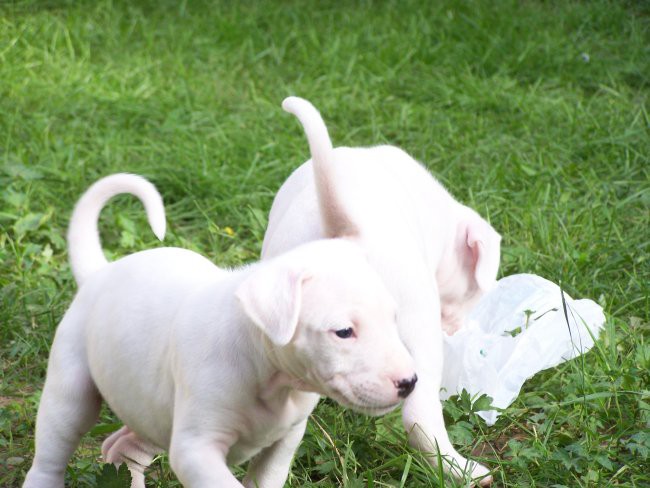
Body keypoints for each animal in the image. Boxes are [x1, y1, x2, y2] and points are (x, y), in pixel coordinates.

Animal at [24, 173, 416, 486]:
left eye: (393, 319)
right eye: (344, 332)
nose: (409, 382)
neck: (268, 376)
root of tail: (100, 273)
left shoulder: (286, 438)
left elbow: (266, 478)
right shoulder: (195, 448)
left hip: (151, 408)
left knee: (120, 447)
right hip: (71, 391)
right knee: (52, 453)